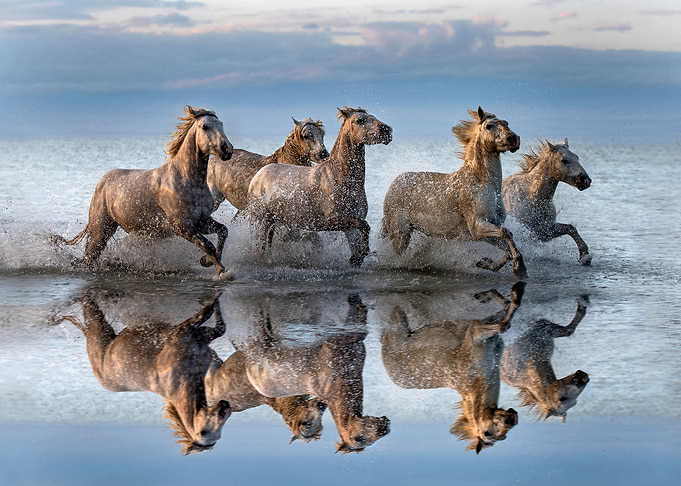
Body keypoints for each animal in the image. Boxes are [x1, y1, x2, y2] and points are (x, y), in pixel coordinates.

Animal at [51, 106, 235, 279]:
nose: (227, 149)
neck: (188, 180)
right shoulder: (182, 226)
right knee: (90, 257)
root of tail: (102, 182)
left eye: (221, 124)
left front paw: (207, 261)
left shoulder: (202, 221)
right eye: (205, 126)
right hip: (101, 230)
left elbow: (223, 231)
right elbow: (207, 245)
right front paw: (221, 271)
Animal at [54, 292, 231, 455]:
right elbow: (208, 314)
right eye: (205, 432)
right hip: (98, 334)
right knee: (87, 305)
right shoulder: (182, 331)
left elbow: (220, 327)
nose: (225, 405)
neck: (181, 382)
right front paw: (214, 296)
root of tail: (102, 378)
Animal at [247, 107, 392, 267]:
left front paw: (357, 257)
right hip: (261, 221)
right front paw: (360, 254)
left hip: (272, 221)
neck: (341, 177)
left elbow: (360, 235)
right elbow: (365, 226)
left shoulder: (351, 224)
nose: (387, 130)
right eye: (360, 120)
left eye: (373, 116)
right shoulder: (332, 221)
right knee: (260, 246)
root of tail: (258, 176)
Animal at [380, 283, 525, 453]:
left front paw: (499, 294)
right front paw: (515, 292)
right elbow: (504, 324)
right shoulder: (475, 335)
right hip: (398, 324)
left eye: (503, 437)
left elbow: (505, 311)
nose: (512, 418)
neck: (478, 380)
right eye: (487, 433)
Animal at [381, 107, 527, 278]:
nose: (514, 139)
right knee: (397, 255)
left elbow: (506, 246)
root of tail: (394, 184)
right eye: (489, 126)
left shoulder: (485, 229)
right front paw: (519, 267)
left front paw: (486, 263)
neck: (483, 182)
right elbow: (506, 233)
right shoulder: (477, 226)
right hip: (400, 233)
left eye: (506, 122)